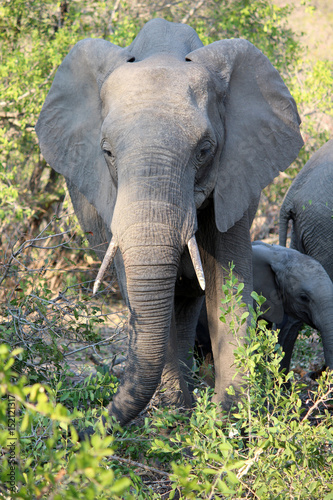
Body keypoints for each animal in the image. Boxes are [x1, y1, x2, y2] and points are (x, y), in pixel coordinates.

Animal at [35, 18, 302, 426]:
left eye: (205, 151)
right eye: (107, 152)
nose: (82, 425)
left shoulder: (235, 177)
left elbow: (227, 279)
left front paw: (229, 419)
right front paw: (177, 420)